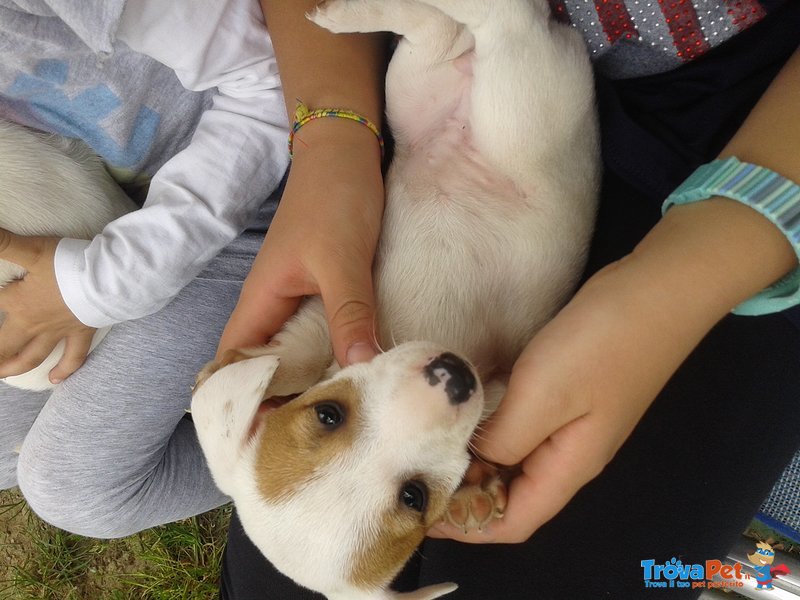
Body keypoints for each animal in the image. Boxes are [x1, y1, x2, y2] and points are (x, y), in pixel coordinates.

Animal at [191, 1, 596, 600]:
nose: (455, 373)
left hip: (513, 113)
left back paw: (335, 15)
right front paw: (476, 490)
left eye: (328, 414)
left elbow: (294, 357)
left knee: (493, 17)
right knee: (458, 28)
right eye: (415, 498)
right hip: (427, 85)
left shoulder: (329, 314)